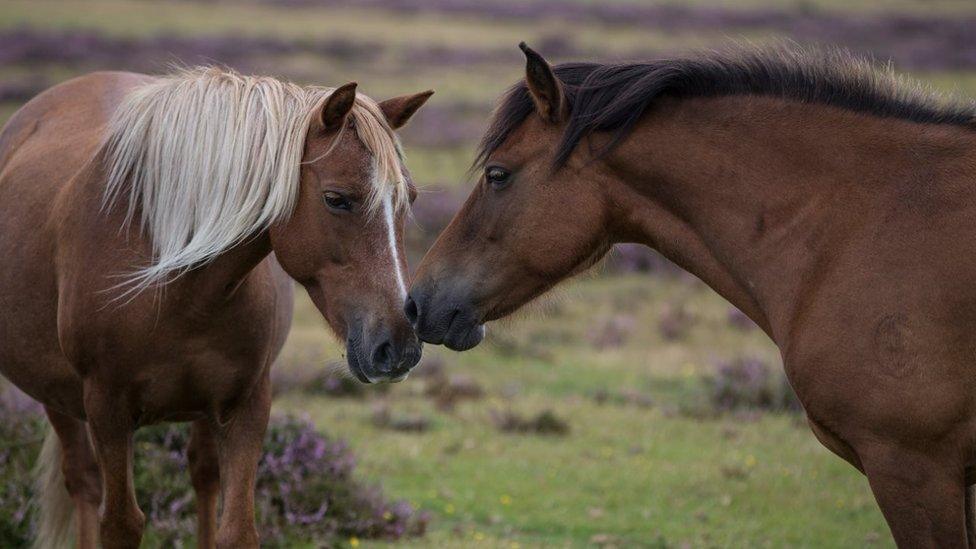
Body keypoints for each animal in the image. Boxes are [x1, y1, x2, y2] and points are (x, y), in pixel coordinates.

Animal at [0, 68, 430, 548]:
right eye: (336, 198)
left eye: (409, 199)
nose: (399, 345)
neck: (177, 287)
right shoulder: (106, 408)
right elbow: (121, 524)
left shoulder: (248, 402)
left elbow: (236, 527)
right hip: (58, 396)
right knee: (84, 482)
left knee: (203, 475)